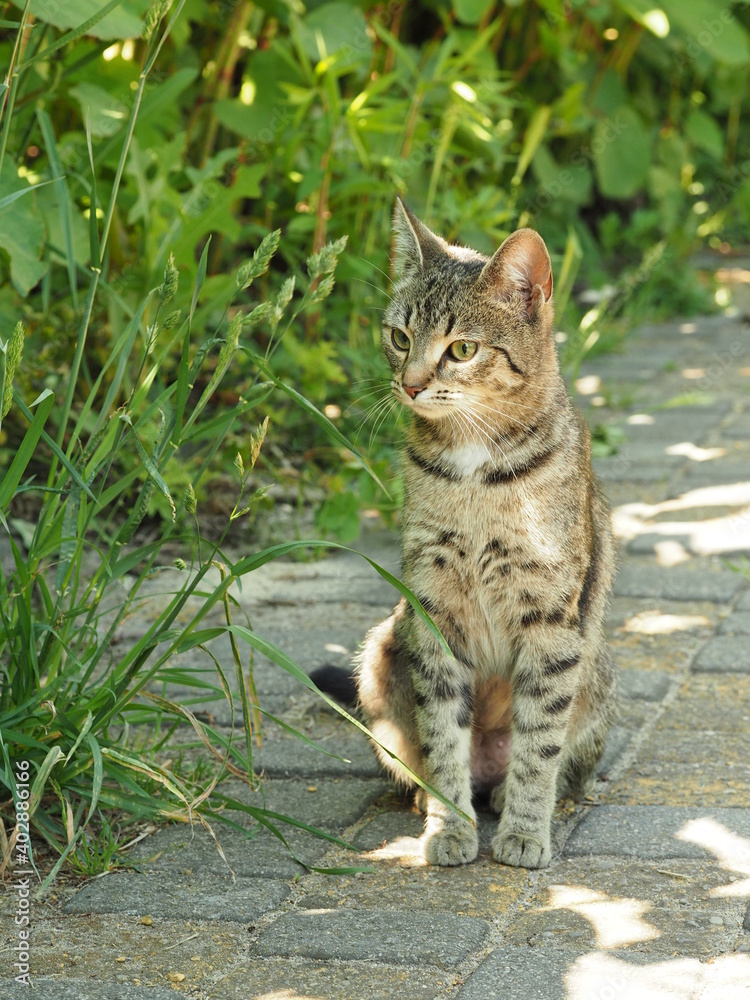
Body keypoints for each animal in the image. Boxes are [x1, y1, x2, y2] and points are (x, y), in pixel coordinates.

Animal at [318, 201, 616, 868]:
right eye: (400, 337)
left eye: (462, 349)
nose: (409, 383)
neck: (474, 467)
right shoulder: (432, 608)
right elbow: (443, 734)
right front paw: (449, 826)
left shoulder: (551, 618)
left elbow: (539, 742)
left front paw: (526, 831)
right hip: (384, 646)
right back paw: (427, 798)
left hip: (595, 666)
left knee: (561, 761)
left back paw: (516, 800)